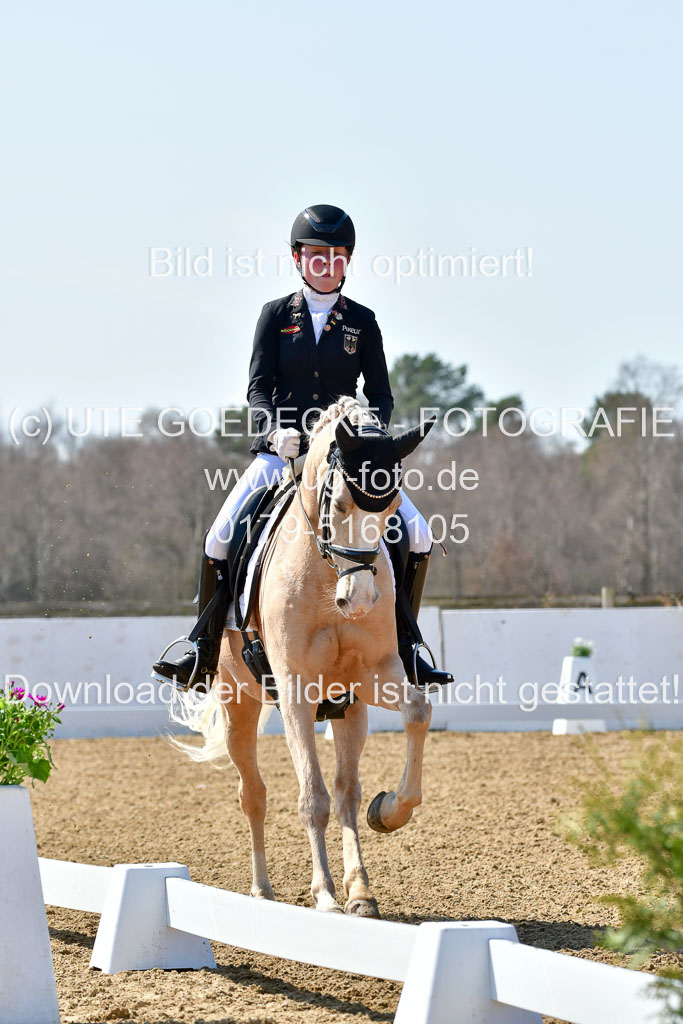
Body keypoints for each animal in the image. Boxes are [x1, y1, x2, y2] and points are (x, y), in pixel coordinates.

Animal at [169, 395, 432, 917]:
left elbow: (417, 710)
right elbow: (311, 796)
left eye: (392, 509)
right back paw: (264, 891)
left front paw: (388, 812)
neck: (326, 574)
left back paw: (360, 891)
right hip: (238, 700)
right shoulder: (294, 689)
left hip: (349, 706)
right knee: (253, 794)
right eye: (340, 503)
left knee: (347, 791)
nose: (360, 601)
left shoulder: (374, 674)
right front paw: (324, 896)